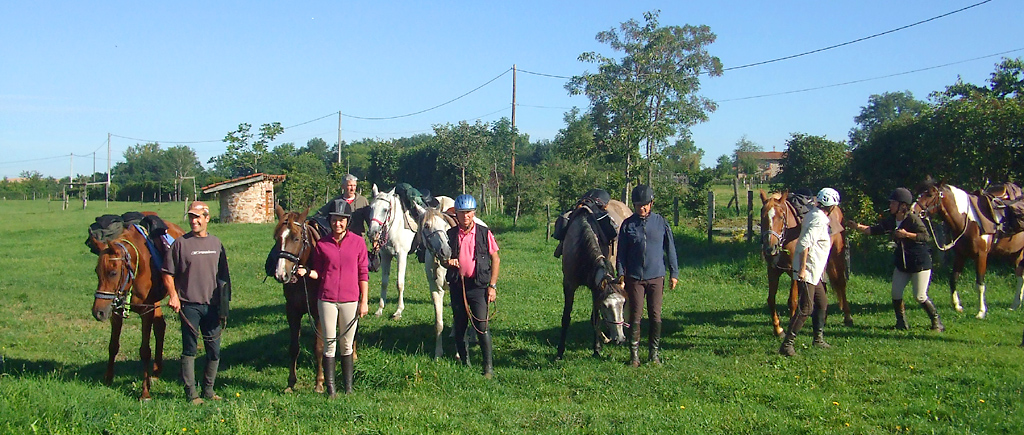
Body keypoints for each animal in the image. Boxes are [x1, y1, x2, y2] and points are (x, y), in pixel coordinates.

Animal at [90, 214, 186, 399]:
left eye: (113, 273)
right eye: (97, 272)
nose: (98, 312)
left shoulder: (146, 311)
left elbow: (144, 351)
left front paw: (145, 392)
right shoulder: (117, 311)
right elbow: (113, 345)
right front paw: (108, 378)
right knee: (160, 327)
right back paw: (156, 371)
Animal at [270, 204, 325, 390]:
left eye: (296, 239)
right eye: (277, 238)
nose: (281, 274)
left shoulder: (318, 313)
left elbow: (318, 347)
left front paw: (319, 382)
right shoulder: (292, 311)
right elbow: (294, 347)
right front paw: (291, 382)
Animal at [557, 198, 626, 358]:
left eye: (623, 303)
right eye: (605, 306)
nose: (620, 338)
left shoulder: (596, 289)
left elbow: (595, 318)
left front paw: (597, 349)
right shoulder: (569, 285)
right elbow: (566, 317)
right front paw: (560, 351)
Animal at [757, 191, 851, 337]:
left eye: (781, 216)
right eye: (763, 216)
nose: (770, 248)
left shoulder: (795, 272)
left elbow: (793, 300)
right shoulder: (772, 270)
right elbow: (771, 299)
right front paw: (778, 329)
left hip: (836, 256)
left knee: (841, 282)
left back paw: (847, 317)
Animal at [913, 180, 1024, 319]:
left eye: (929, 194)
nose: (912, 210)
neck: (970, 221)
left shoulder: (981, 256)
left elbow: (980, 284)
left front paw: (981, 312)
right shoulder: (960, 255)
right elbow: (953, 279)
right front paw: (957, 306)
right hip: (1017, 253)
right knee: (1020, 276)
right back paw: (1015, 305)